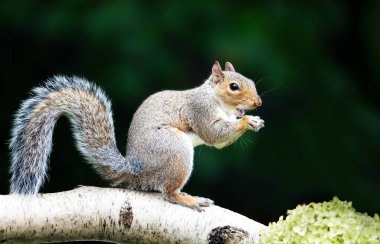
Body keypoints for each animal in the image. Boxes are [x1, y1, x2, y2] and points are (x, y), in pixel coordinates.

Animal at [8, 61, 264, 212]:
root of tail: (136, 169)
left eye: (251, 82)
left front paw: (254, 120)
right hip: (174, 149)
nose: (258, 102)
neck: (217, 101)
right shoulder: (199, 110)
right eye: (233, 86)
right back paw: (188, 199)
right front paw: (247, 121)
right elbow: (214, 135)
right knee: (168, 192)